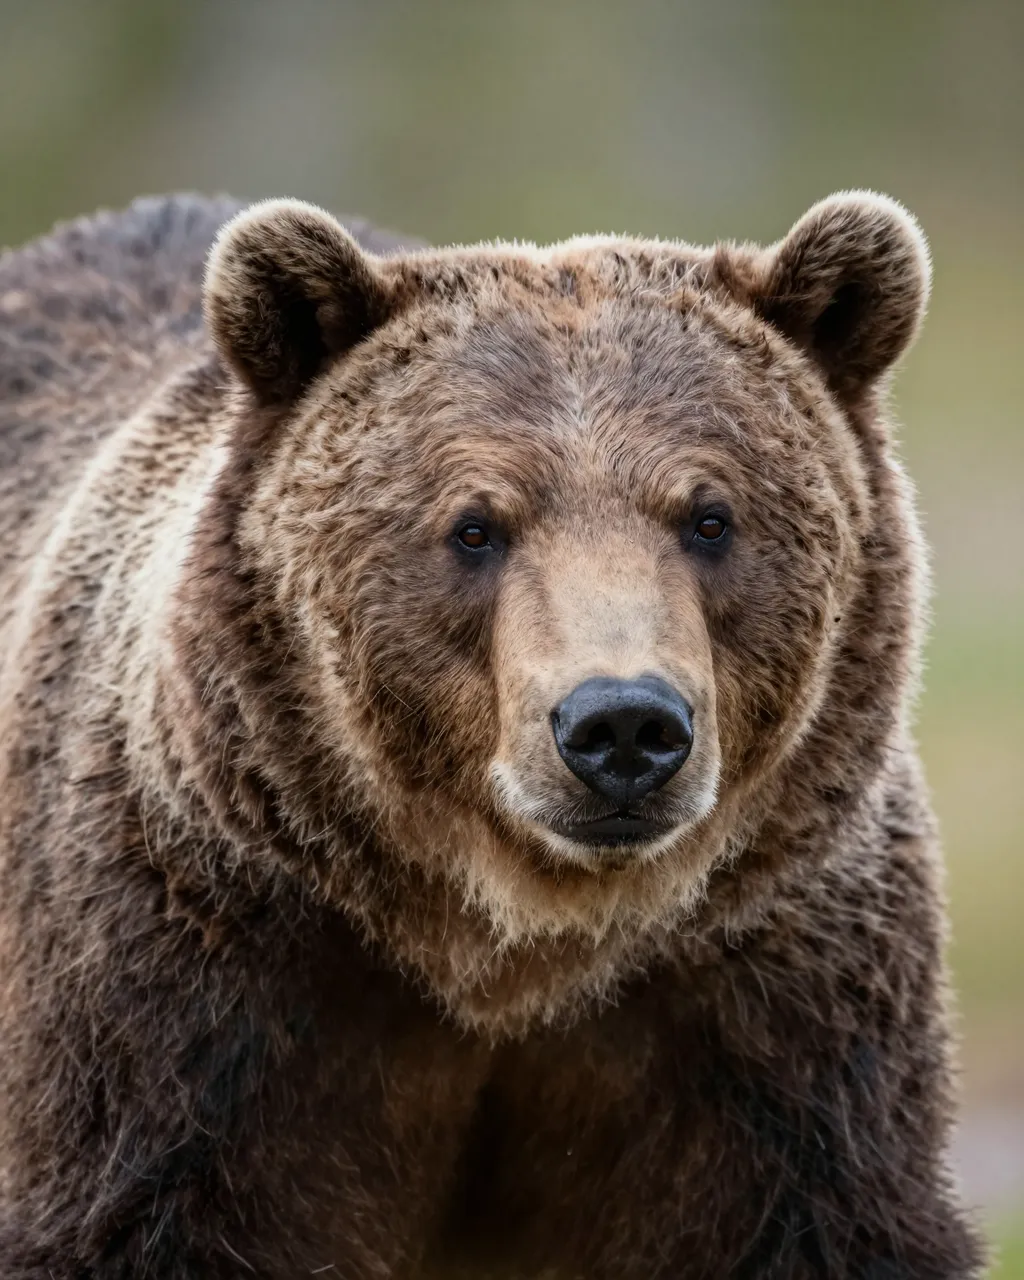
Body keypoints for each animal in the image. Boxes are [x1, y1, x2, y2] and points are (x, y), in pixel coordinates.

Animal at [0, 189, 985, 1279]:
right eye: (475, 526)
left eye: (710, 516)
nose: (622, 724)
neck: (510, 947)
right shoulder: (196, 979)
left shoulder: (775, 1011)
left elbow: (810, 1212)